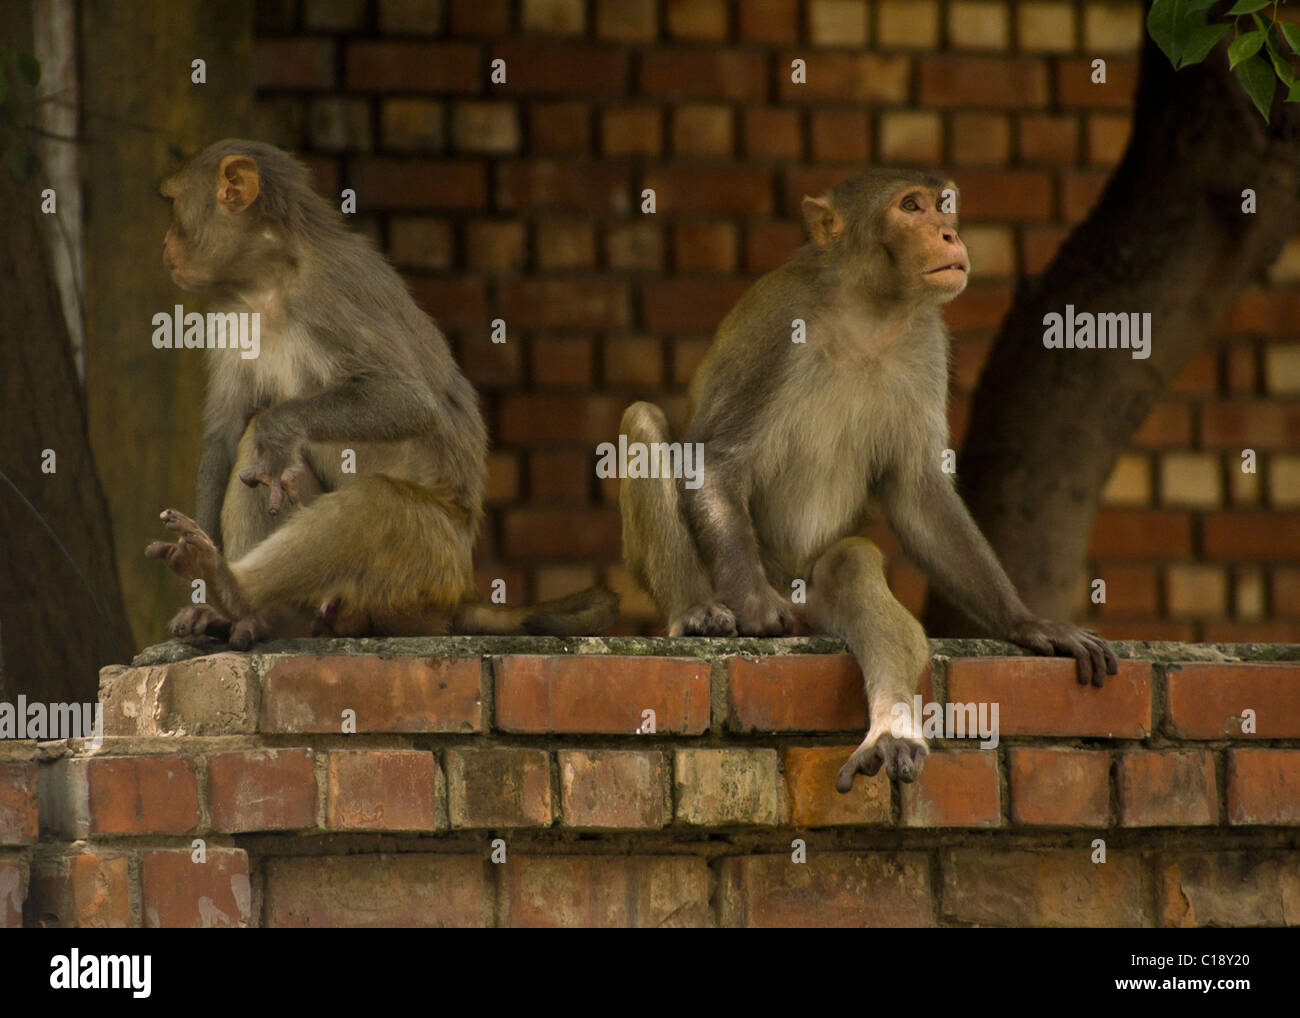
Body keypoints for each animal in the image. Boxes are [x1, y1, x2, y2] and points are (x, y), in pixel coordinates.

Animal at [618, 167, 1118, 790]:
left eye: (943, 205)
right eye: (911, 207)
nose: (950, 234)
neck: (869, 310)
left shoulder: (927, 341)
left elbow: (917, 492)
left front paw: (1025, 621)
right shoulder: (779, 325)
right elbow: (715, 462)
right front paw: (752, 604)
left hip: (810, 597)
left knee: (851, 563)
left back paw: (891, 731)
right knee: (644, 421)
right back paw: (697, 613)